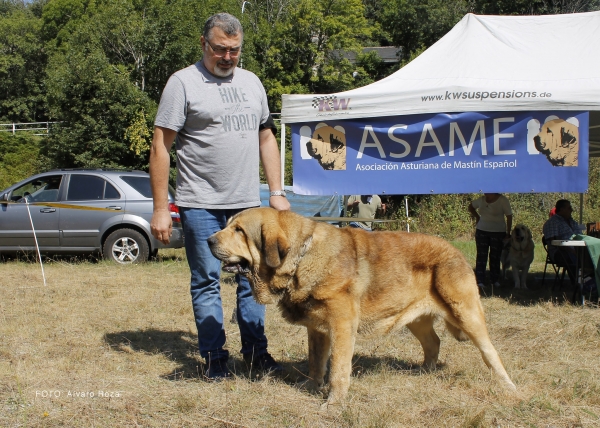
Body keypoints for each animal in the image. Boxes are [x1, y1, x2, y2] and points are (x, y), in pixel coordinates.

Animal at [207, 207, 516, 404]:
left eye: (239, 230)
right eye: (229, 225)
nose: (208, 239)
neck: (301, 259)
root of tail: (457, 252)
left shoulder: (342, 327)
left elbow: (338, 369)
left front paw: (333, 403)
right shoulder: (317, 330)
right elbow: (316, 363)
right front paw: (311, 386)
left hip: (467, 314)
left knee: (490, 353)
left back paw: (508, 387)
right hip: (416, 319)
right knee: (433, 342)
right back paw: (424, 371)